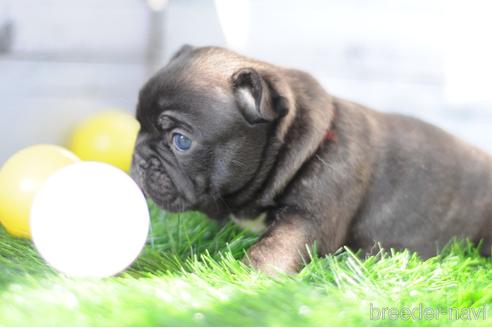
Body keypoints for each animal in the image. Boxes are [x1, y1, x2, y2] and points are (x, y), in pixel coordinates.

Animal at [131, 43, 492, 274]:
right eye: (138, 126)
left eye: (181, 141)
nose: (139, 158)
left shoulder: (307, 221)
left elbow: (271, 250)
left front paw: (239, 280)